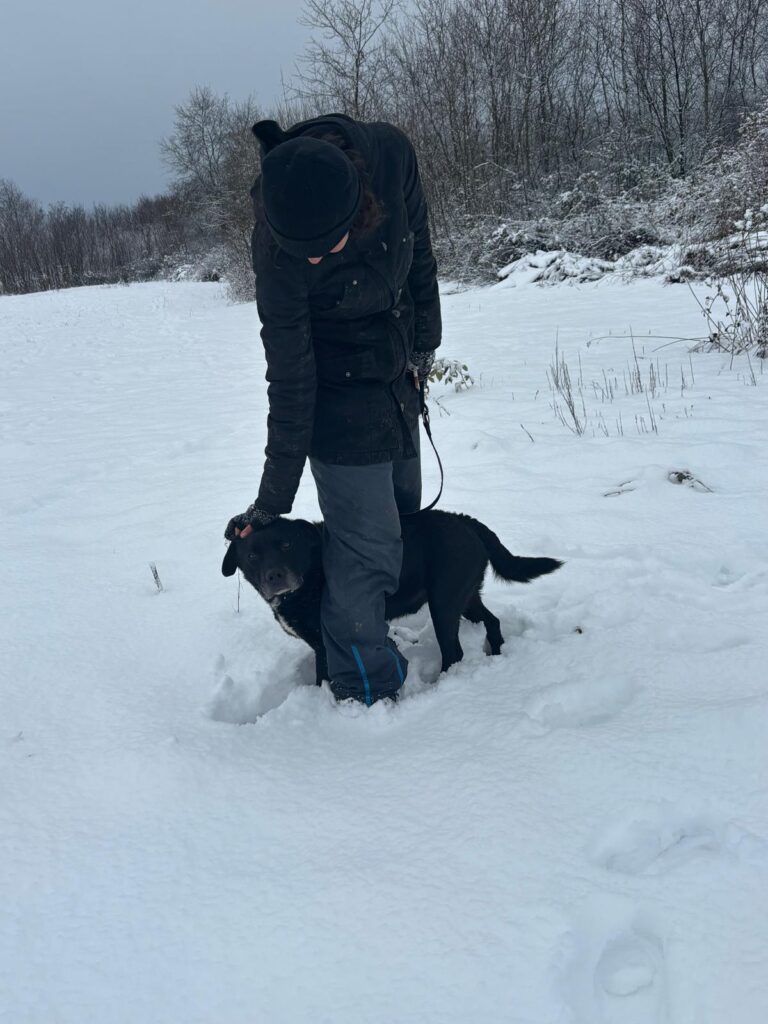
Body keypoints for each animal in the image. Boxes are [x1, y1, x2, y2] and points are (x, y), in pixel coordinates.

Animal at [221, 510, 562, 687]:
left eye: (287, 545)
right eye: (252, 555)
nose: (274, 576)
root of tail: (466, 521)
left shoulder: (329, 644)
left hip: (444, 603)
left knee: (454, 653)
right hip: (464, 598)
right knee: (493, 620)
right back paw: (498, 653)